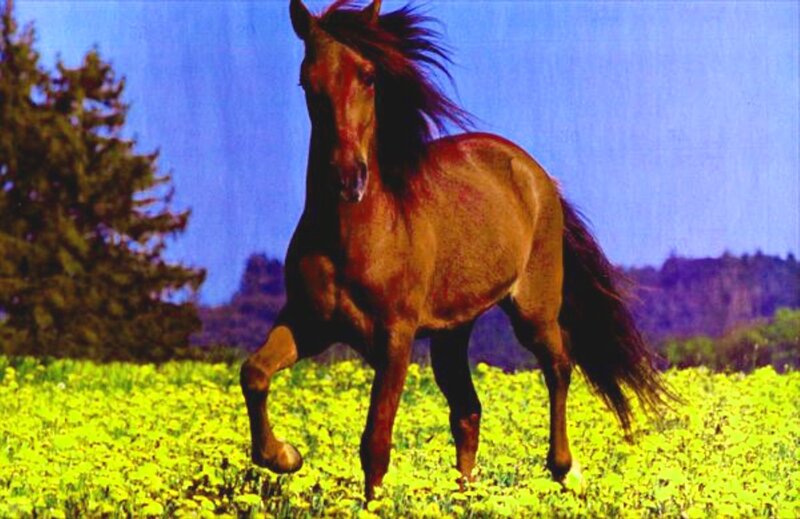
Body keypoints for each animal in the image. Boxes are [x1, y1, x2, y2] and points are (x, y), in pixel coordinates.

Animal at [240, 0, 670, 500]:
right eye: (307, 80)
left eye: (368, 75)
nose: (349, 179)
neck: (353, 235)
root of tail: (535, 175)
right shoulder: (309, 323)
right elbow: (254, 373)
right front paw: (286, 456)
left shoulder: (395, 336)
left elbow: (376, 440)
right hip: (452, 331)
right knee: (467, 410)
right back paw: (469, 496)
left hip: (533, 309)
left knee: (558, 366)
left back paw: (567, 471)